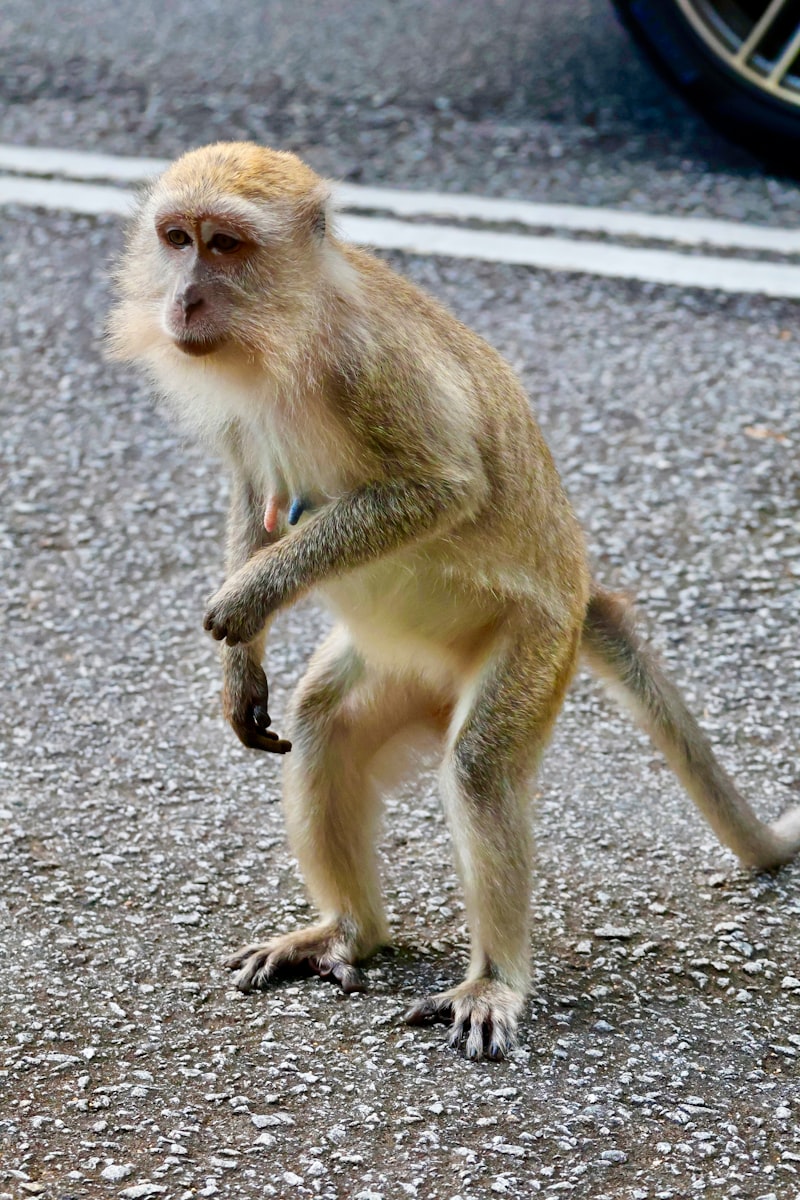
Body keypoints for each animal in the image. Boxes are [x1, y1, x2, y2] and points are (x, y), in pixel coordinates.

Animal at [109, 142, 800, 1060]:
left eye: (225, 245)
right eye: (176, 238)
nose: (183, 298)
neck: (289, 333)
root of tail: (580, 594)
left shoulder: (372, 367)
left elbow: (443, 489)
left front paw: (254, 594)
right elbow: (254, 490)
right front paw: (240, 664)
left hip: (536, 643)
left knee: (478, 768)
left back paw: (494, 981)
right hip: (403, 666)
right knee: (326, 721)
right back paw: (349, 931)